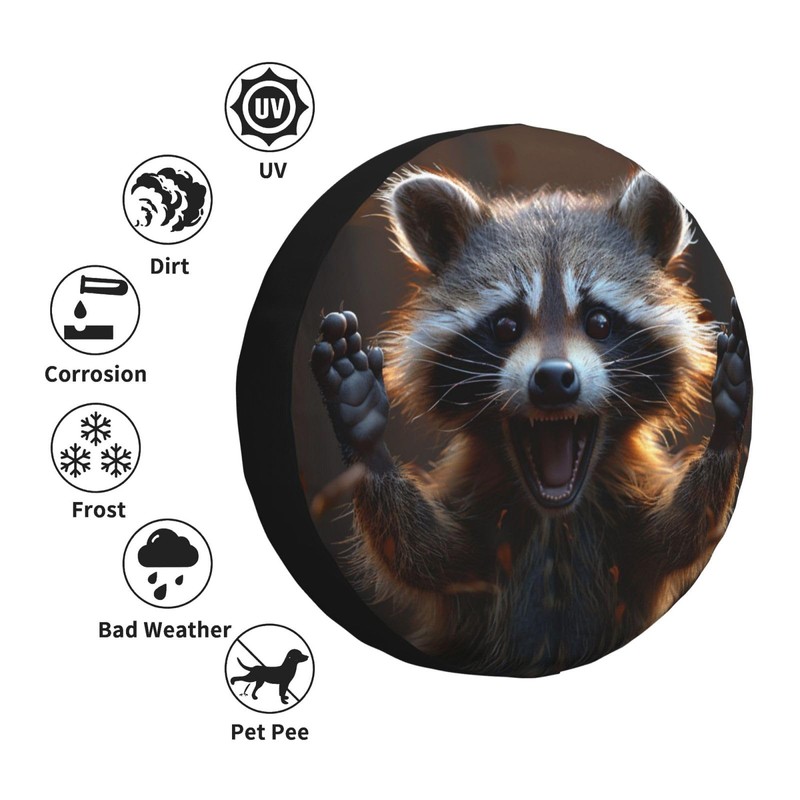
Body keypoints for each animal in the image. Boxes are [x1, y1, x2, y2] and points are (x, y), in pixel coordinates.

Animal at [310, 169, 750, 676]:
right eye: (506, 326)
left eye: (599, 321)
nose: (554, 379)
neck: (554, 518)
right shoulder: (480, 517)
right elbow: (429, 555)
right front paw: (366, 439)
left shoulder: (628, 508)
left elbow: (675, 535)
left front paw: (728, 430)